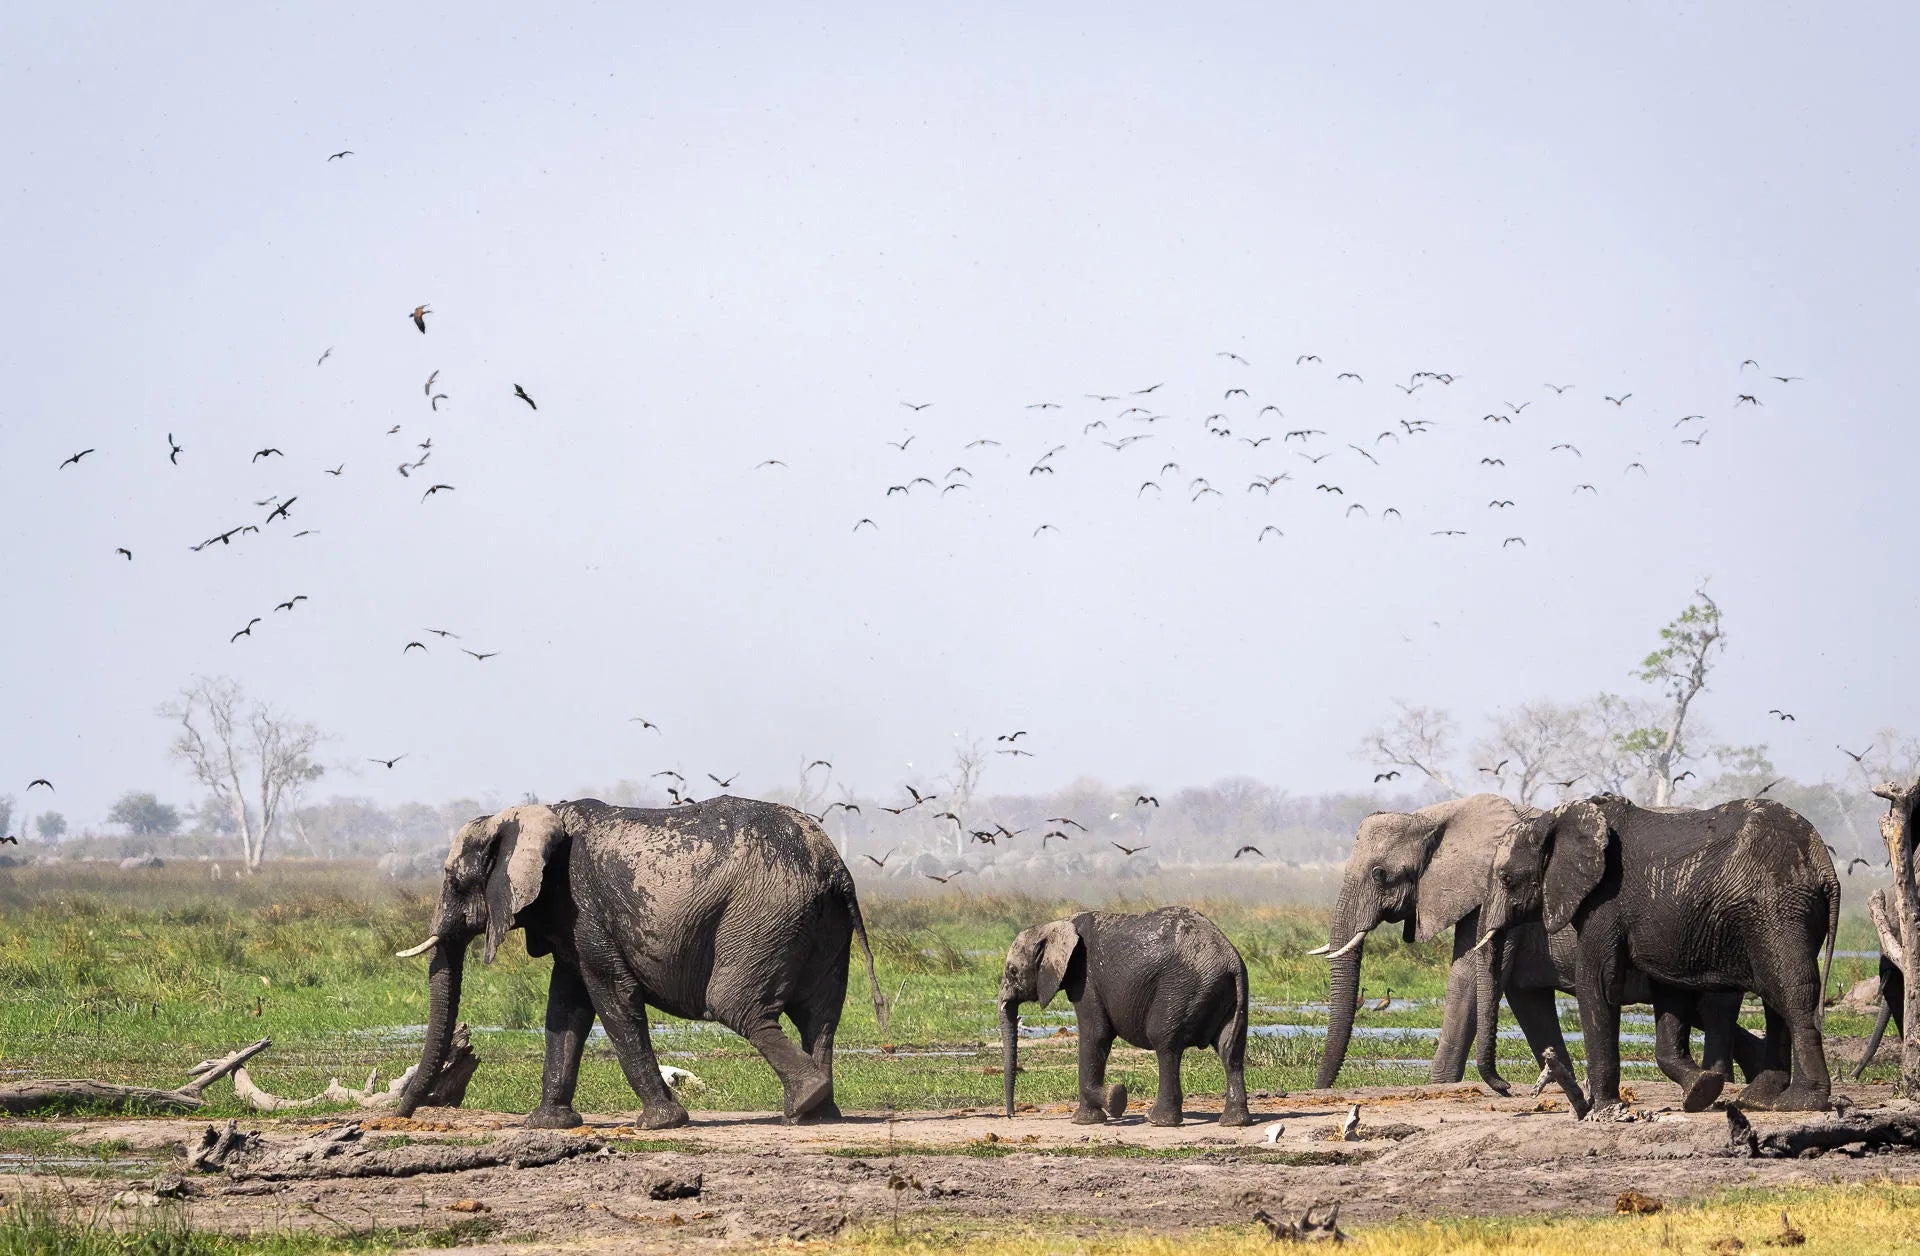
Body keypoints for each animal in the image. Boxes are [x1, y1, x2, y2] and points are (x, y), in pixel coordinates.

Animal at [392, 797, 884, 1129]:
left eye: (454, 879)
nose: (401, 1116)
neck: (534, 814)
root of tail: (833, 863)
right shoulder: (568, 919)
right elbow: (566, 1006)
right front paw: (547, 1124)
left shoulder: (583, 905)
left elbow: (611, 993)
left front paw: (660, 1123)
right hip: (820, 920)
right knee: (820, 1016)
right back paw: (819, 1114)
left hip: (764, 913)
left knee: (737, 1005)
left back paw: (804, 1103)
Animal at [999, 907, 1250, 1127]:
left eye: (1012, 971)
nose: (1012, 1116)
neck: (1057, 924)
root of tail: (1230, 960)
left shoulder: (1085, 977)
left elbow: (1096, 1034)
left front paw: (1108, 1103)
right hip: (1227, 993)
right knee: (1231, 1050)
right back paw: (1234, 1122)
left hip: (1182, 987)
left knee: (1164, 1041)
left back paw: (1159, 1121)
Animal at [1478, 794, 1839, 1113]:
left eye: (1506, 879)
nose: (1506, 1088)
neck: (1555, 818)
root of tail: (1826, 867)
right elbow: (1670, 990)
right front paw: (1700, 1091)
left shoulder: (1604, 900)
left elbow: (1598, 981)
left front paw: (1604, 1109)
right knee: (1775, 998)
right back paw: (1757, 1100)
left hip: (1777, 908)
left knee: (1792, 992)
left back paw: (1800, 1103)